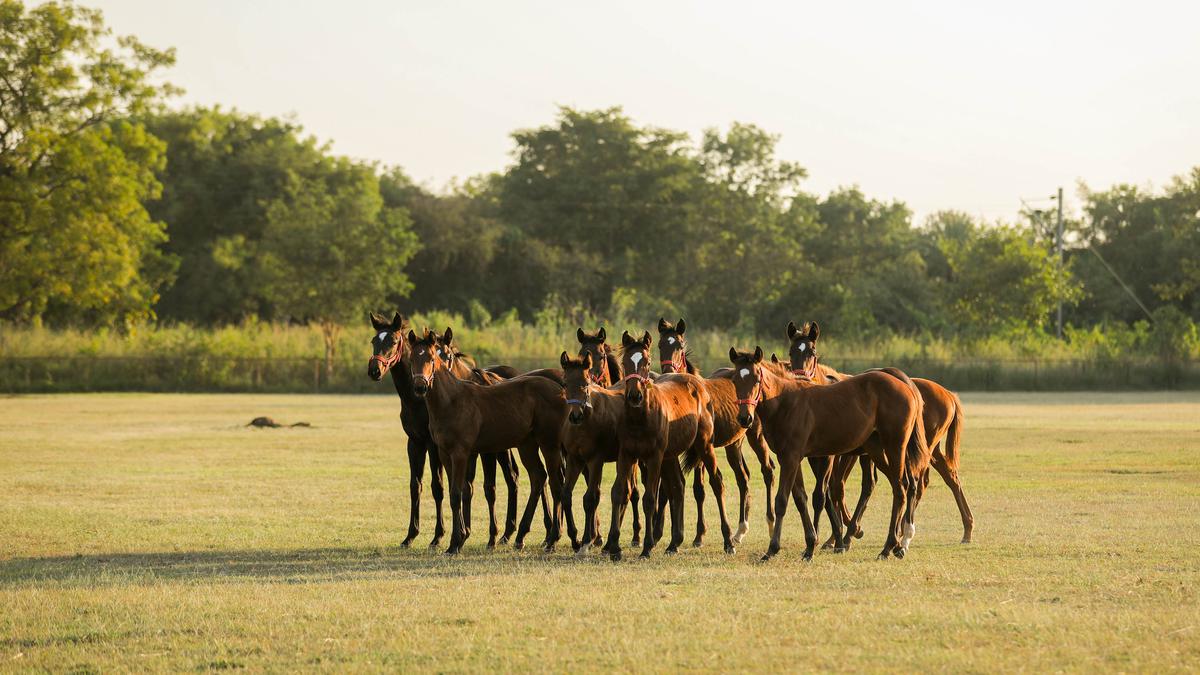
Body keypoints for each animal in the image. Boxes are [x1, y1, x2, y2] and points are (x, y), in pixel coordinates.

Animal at [408, 326, 566, 552]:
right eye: (411, 359)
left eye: (431, 358)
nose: (420, 387)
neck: (451, 401)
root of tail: (560, 390)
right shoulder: (445, 453)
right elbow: (456, 493)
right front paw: (460, 538)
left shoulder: (461, 453)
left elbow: (458, 493)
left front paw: (455, 543)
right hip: (527, 445)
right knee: (538, 477)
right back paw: (521, 537)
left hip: (549, 444)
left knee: (556, 482)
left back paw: (552, 539)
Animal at [657, 317, 777, 547]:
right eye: (660, 345)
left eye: (679, 345)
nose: (668, 369)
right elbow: (686, 488)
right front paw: (693, 536)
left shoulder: (702, 450)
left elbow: (701, 488)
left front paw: (699, 535)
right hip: (733, 445)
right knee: (743, 478)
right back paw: (740, 530)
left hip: (756, 436)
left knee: (767, 471)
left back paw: (769, 524)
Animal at [720, 343, 926, 559]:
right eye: (735, 381)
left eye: (757, 378)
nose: (745, 418)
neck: (786, 402)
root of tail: (907, 387)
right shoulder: (791, 458)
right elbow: (801, 498)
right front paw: (810, 545)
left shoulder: (792, 458)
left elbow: (782, 501)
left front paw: (772, 549)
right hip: (876, 451)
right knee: (900, 486)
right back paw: (893, 544)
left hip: (895, 446)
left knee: (901, 489)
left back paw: (889, 546)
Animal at [787, 317, 974, 542]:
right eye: (791, 352)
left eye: (812, 352)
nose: (800, 378)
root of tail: (948, 394)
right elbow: (836, 488)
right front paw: (843, 532)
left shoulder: (842, 455)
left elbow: (837, 488)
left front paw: (847, 532)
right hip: (928, 449)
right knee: (948, 477)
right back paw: (964, 527)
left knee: (918, 482)